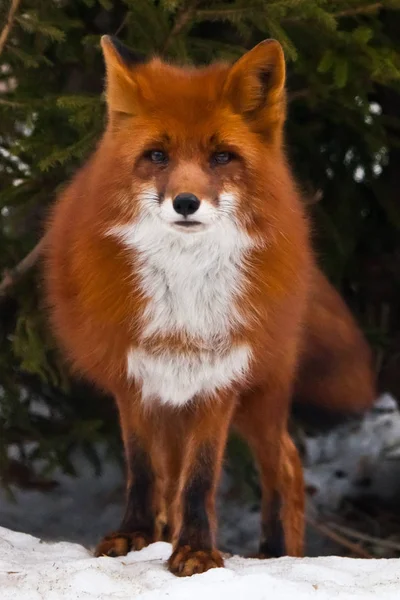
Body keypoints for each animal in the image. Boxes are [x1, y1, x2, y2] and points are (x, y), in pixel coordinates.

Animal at [43, 34, 324, 576]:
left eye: (222, 157)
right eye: (157, 155)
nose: (186, 202)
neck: (185, 295)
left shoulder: (220, 377)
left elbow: (200, 479)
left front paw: (196, 550)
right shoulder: (134, 376)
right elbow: (144, 472)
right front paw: (134, 535)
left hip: (263, 392)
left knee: (285, 465)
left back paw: (278, 551)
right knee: (176, 479)